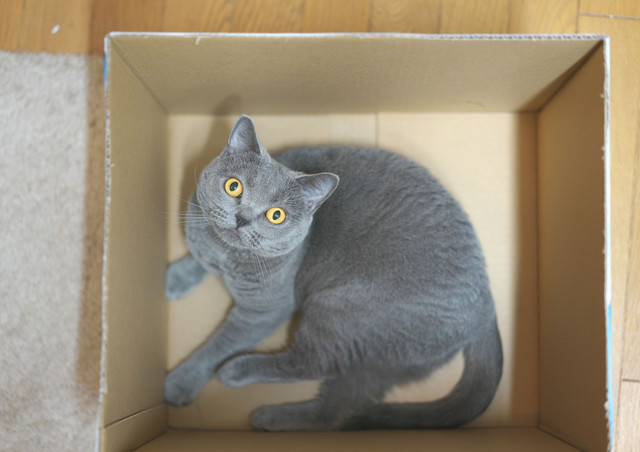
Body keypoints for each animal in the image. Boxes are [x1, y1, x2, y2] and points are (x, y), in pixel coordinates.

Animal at [164, 115, 503, 431]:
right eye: (233, 186)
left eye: (276, 215)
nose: (242, 218)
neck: (225, 255)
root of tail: (487, 305)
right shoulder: (200, 229)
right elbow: (197, 256)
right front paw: (173, 279)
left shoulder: (265, 309)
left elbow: (218, 346)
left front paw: (179, 383)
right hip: (389, 358)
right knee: (337, 409)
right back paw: (273, 418)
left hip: (341, 309)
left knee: (316, 362)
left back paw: (239, 375)